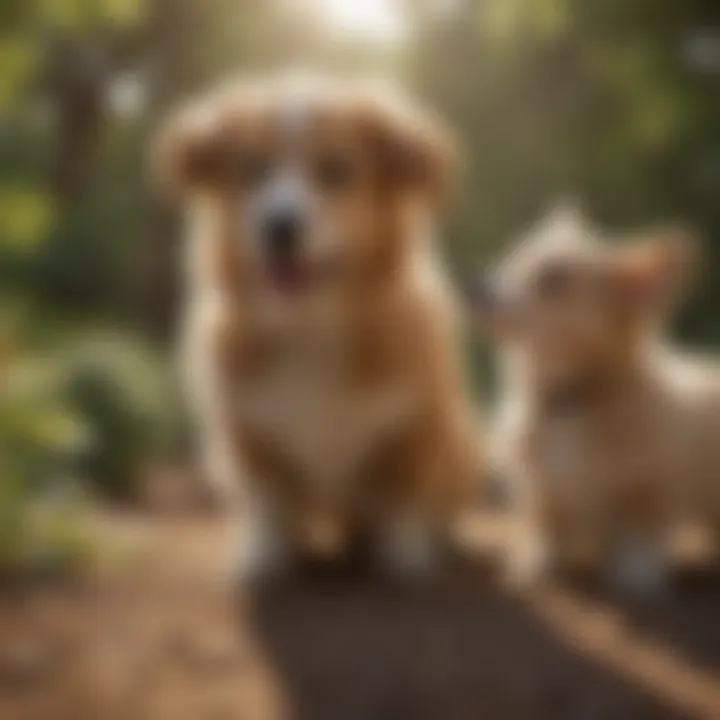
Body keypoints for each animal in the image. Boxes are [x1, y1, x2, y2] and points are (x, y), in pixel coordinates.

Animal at [156, 74, 484, 580]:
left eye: (336, 170)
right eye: (252, 168)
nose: (279, 226)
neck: (310, 326)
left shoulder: (416, 425)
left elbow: (404, 498)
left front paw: (403, 560)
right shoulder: (250, 434)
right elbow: (268, 503)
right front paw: (266, 560)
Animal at [466, 205, 716, 592]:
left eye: (553, 280)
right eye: (515, 261)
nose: (472, 284)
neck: (571, 400)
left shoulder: (649, 482)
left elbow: (640, 533)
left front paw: (637, 575)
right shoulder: (543, 487)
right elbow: (545, 526)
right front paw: (536, 566)